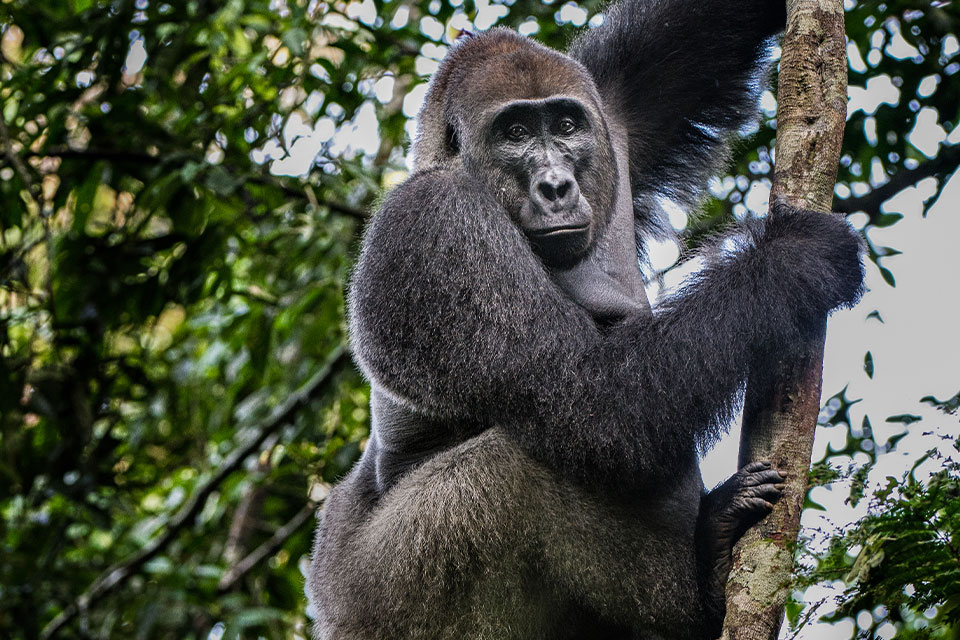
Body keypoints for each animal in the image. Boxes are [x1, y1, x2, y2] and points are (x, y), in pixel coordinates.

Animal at [308, 2, 863, 638]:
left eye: (567, 126)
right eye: (515, 134)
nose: (555, 186)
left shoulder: (609, 109)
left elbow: (701, 30)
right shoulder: (436, 222)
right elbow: (594, 405)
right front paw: (792, 261)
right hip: (379, 604)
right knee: (516, 466)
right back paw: (705, 580)